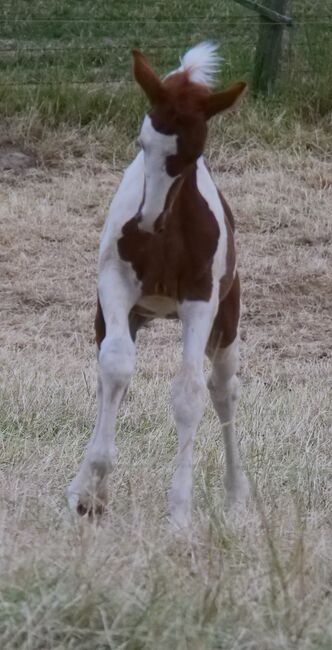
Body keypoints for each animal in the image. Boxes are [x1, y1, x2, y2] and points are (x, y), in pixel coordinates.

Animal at [67, 40, 249, 528]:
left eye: (192, 151)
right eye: (141, 142)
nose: (146, 221)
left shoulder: (200, 301)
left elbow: (189, 394)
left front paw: (180, 513)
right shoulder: (115, 286)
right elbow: (115, 367)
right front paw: (91, 491)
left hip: (226, 324)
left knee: (223, 391)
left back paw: (236, 497)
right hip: (124, 315)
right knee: (108, 375)